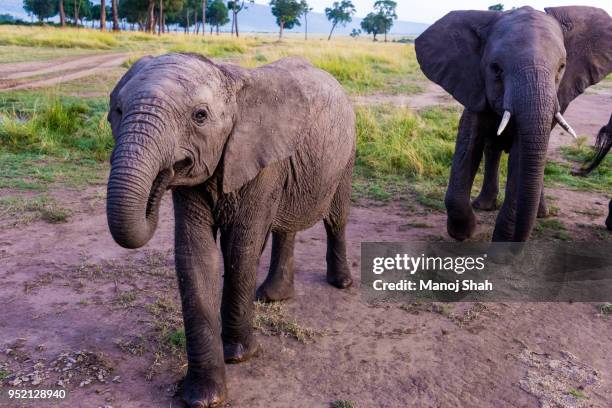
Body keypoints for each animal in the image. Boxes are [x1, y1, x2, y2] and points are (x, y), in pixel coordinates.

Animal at [104, 52, 354, 406]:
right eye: (118, 111)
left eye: (200, 116)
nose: (161, 176)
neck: (231, 80)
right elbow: (196, 256)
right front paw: (203, 397)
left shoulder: (262, 159)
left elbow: (241, 249)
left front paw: (238, 356)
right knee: (284, 227)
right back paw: (273, 297)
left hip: (346, 154)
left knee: (336, 217)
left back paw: (341, 283)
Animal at [416, 6, 612, 241]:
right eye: (496, 69)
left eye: (561, 67)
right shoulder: (475, 86)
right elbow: (468, 142)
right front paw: (463, 232)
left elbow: (521, 156)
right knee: (493, 148)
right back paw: (485, 206)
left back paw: (540, 213)